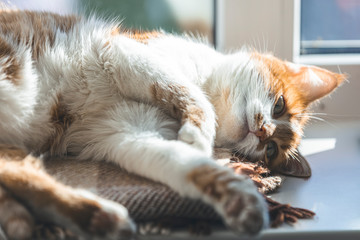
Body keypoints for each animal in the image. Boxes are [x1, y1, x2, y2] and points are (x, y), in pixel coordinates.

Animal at [0, 9, 344, 240]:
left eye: (271, 151)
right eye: (280, 106)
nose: (264, 133)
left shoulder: (127, 133)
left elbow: (185, 164)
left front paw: (241, 201)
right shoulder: (124, 52)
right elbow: (193, 97)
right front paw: (199, 136)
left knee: (32, 181)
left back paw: (101, 220)